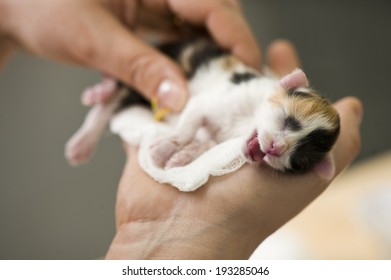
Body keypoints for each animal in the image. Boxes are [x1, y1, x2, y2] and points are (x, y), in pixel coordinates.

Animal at [66, 38, 340, 175]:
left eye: (299, 160)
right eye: (288, 121)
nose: (276, 148)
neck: (244, 123)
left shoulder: (216, 136)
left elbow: (204, 143)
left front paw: (182, 156)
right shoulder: (216, 99)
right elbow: (188, 125)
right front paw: (165, 148)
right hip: (154, 65)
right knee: (112, 96)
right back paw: (96, 101)